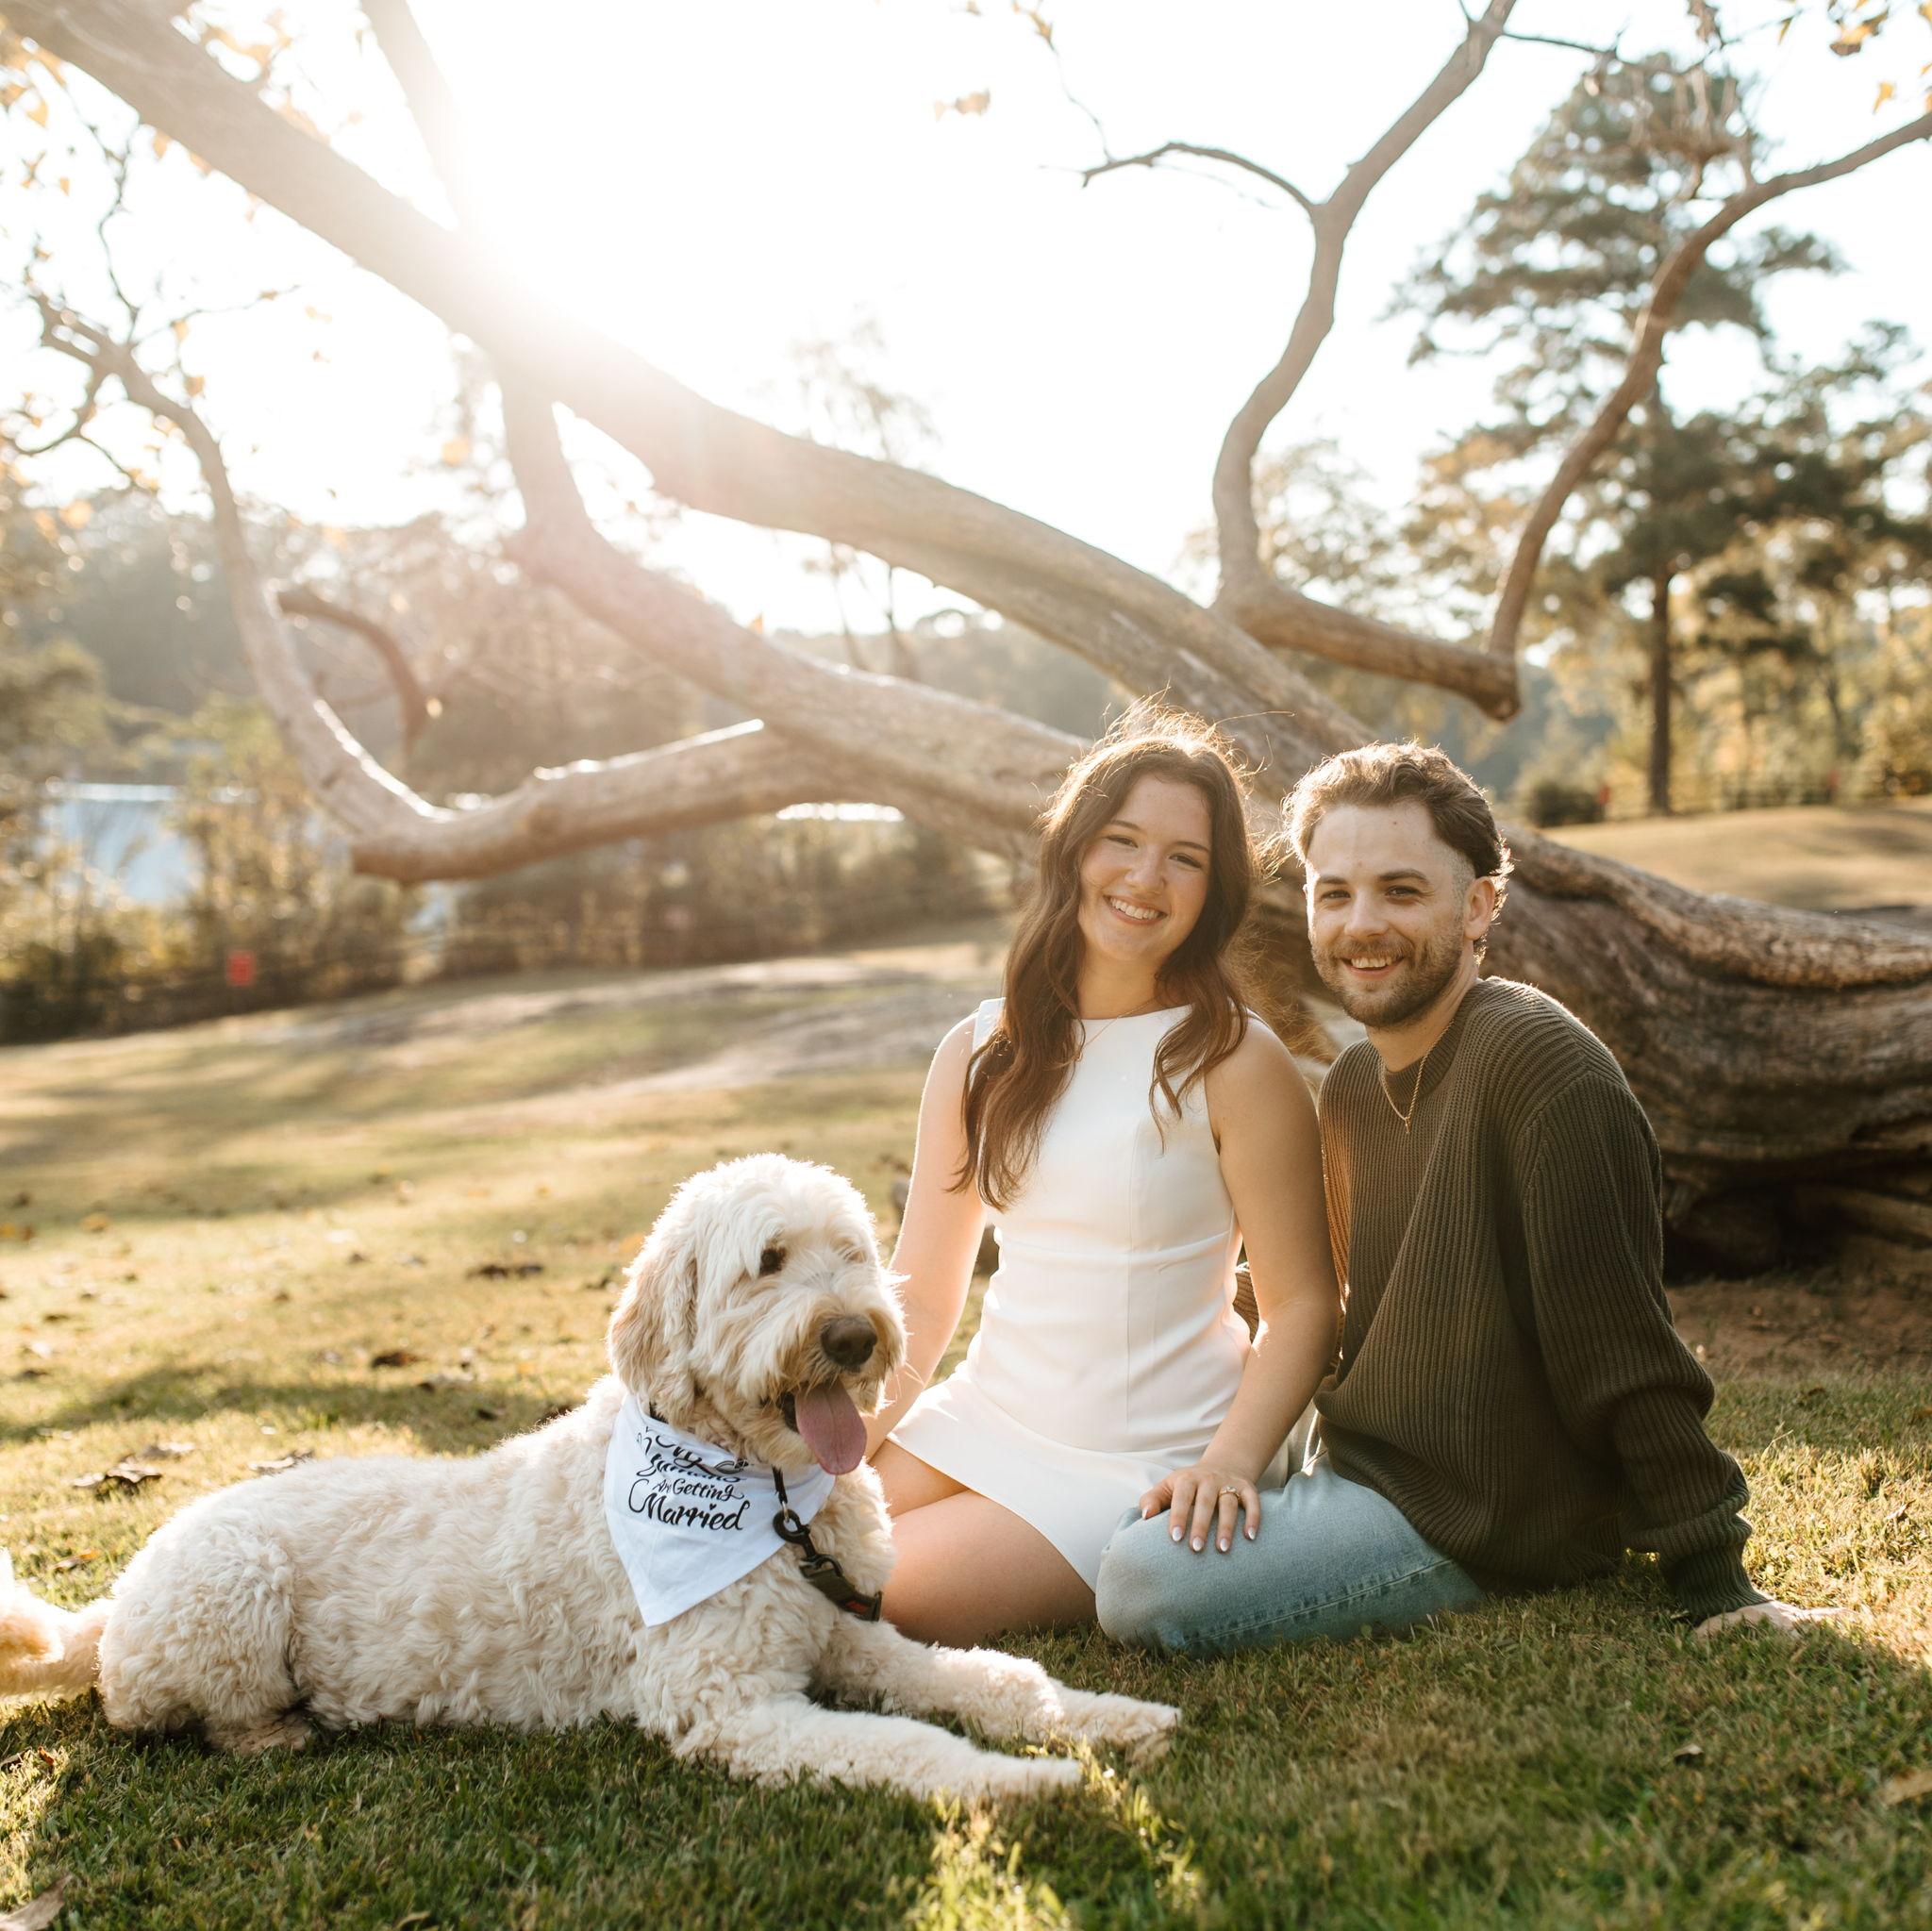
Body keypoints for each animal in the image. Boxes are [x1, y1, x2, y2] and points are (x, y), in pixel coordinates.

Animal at [0, 1154, 1176, 1798]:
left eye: (850, 1250)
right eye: (766, 1262)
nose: (853, 1335)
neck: (764, 1495)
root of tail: (115, 1599)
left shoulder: (848, 1634)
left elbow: (993, 1678)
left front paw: (1106, 1718)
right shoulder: (723, 1702)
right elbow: (910, 1744)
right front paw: (1024, 1785)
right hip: (230, 1593)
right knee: (188, 1716)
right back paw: (278, 1729)